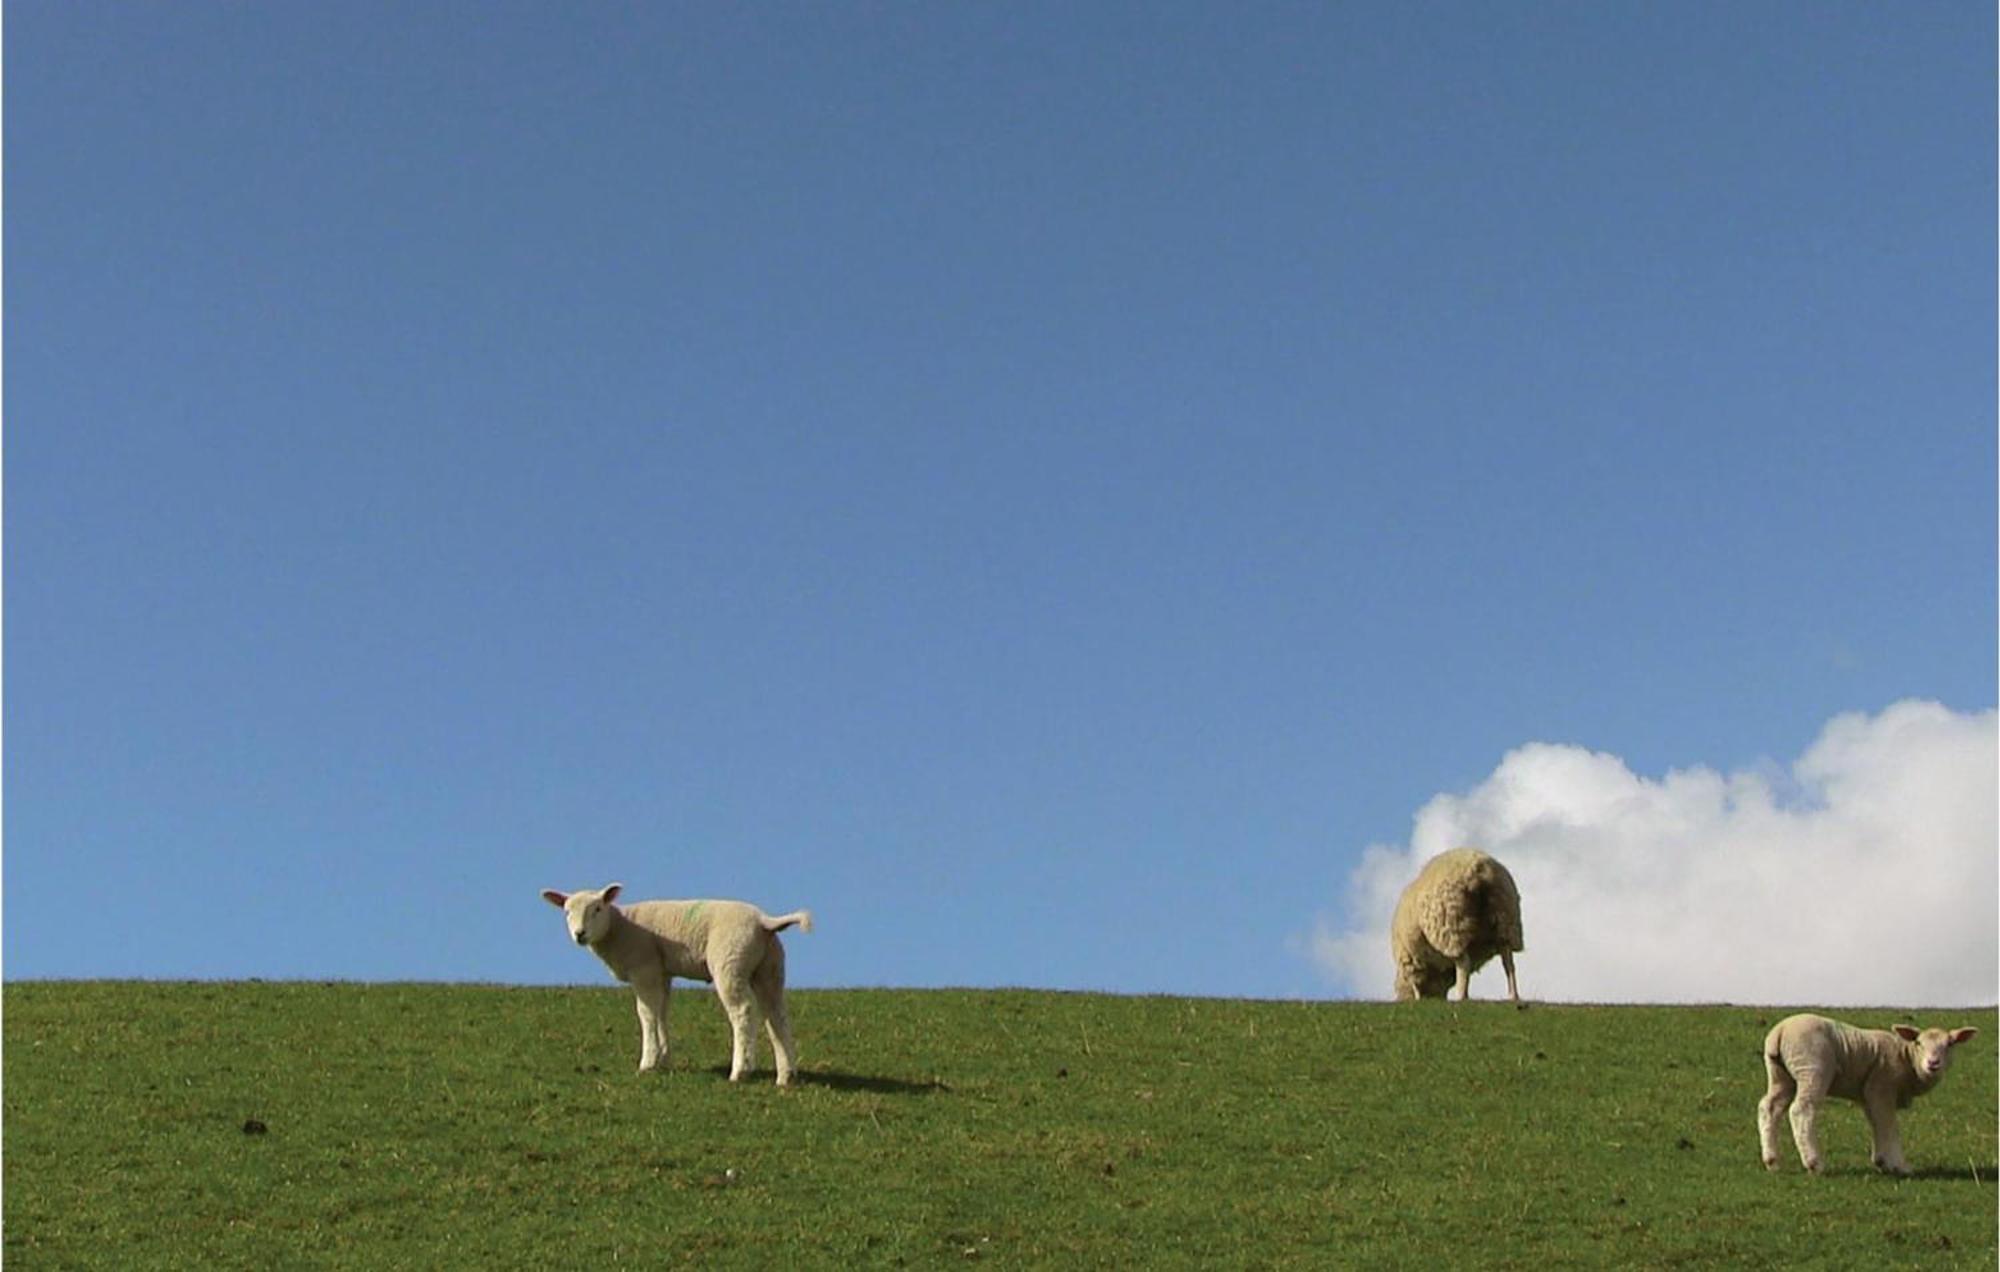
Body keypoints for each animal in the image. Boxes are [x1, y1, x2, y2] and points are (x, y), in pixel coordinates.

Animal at [540, 884, 812, 1080]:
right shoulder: (662, 973)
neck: (620, 927)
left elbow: (646, 1014)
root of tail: (763, 920)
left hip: (730, 961)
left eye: (597, 909)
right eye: (567, 912)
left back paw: (740, 1071)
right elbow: (662, 1013)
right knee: (777, 1016)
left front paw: (647, 1062)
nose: (580, 934)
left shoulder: (644, 969)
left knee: (743, 1012)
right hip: (770, 968)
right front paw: (664, 1059)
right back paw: (786, 1075)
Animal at [1384, 844, 1520, 1004]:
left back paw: (1461, 997)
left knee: (1464, 962)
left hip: (1451, 927)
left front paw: (1419, 997)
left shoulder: (1411, 961)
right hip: (1506, 918)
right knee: (1508, 961)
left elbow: (1416, 984)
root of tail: (1478, 868)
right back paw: (1513, 995)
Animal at [1760, 1008, 1976, 1176]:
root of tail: (1779, 1031)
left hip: (1780, 1075)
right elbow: (1889, 1125)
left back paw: (1772, 1160)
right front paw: (1900, 1165)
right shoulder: (1882, 1087)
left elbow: (1877, 1123)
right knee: (1802, 1109)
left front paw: (1881, 1160)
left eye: (1950, 1044)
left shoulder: (1869, 1095)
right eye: (1919, 1043)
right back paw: (1814, 1163)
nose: (1933, 1063)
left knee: (1769, 1107)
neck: (1907, 1059)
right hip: (1812, 1067)